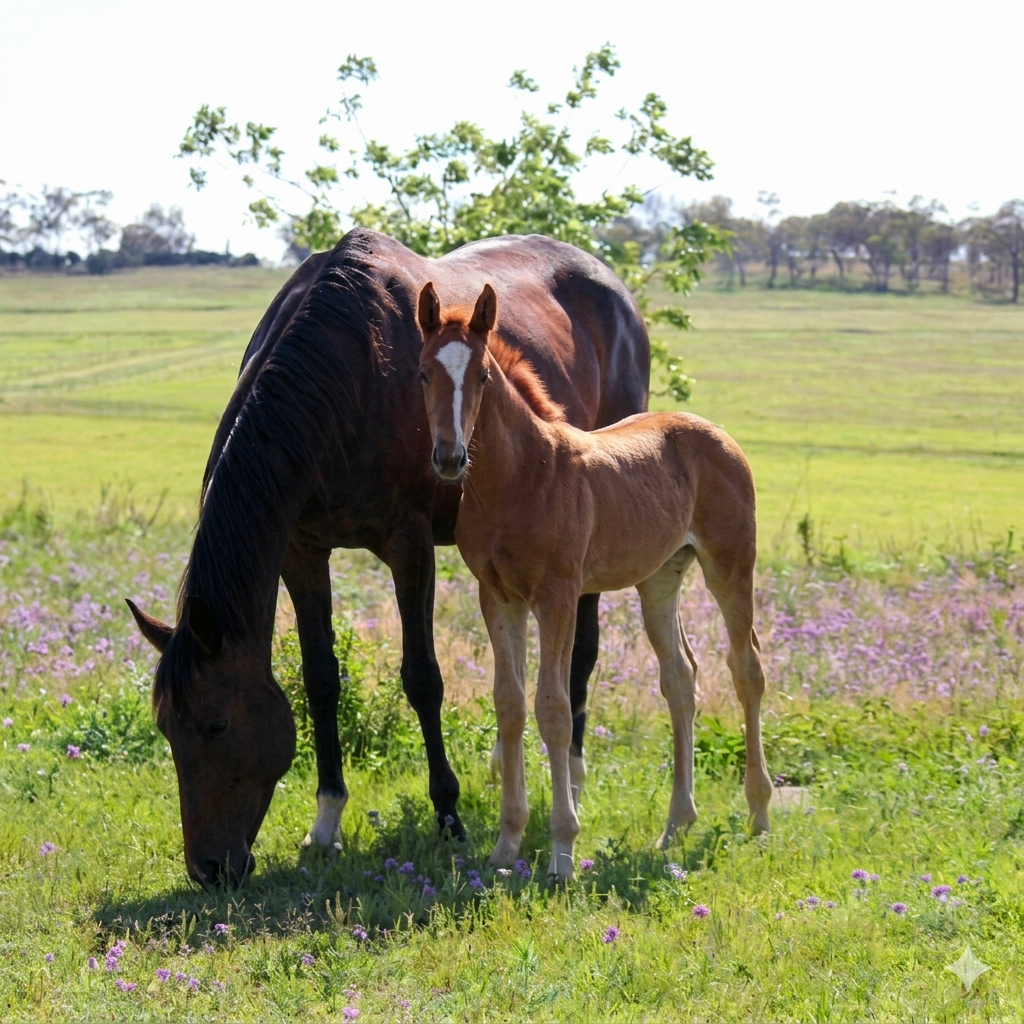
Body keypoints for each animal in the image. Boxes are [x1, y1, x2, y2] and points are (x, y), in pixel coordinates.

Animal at [126, 228, 650, 887]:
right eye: (165, 727)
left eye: (216, 724)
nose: (210, 869)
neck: (347, 376)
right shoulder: (301, 550)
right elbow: (321, 679)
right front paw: (326, 820)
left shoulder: (410, 545)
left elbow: (422, 678)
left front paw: (449, 816)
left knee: (582, 650)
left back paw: (572, 782)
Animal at [416, 281, 772, 880]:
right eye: (423, 372)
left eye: (483, 375)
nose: (449, 457)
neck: (520, 478)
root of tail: (716, 433)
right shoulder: (499, 597)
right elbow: (510, 704)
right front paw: (506, 845)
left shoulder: (557, 595)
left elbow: (555, 709)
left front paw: (562, 851)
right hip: (660, 578)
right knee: (681, 676)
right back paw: (675, 826)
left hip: (730, 563)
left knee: (746, 667)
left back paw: (759, 815)